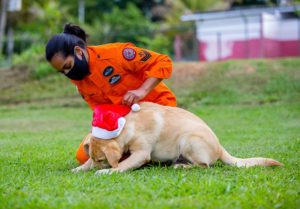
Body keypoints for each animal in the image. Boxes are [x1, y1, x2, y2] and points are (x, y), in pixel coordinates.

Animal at [71, 102, 282, 174]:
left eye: (102, 160)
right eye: (94, 158)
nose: (94, 168)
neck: (126, 127)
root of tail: (220, 147)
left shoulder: (141, 154)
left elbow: (122, 165)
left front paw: (106, 171)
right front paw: (79, 169)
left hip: (188, 140)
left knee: (204, 166)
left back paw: (181, 166)